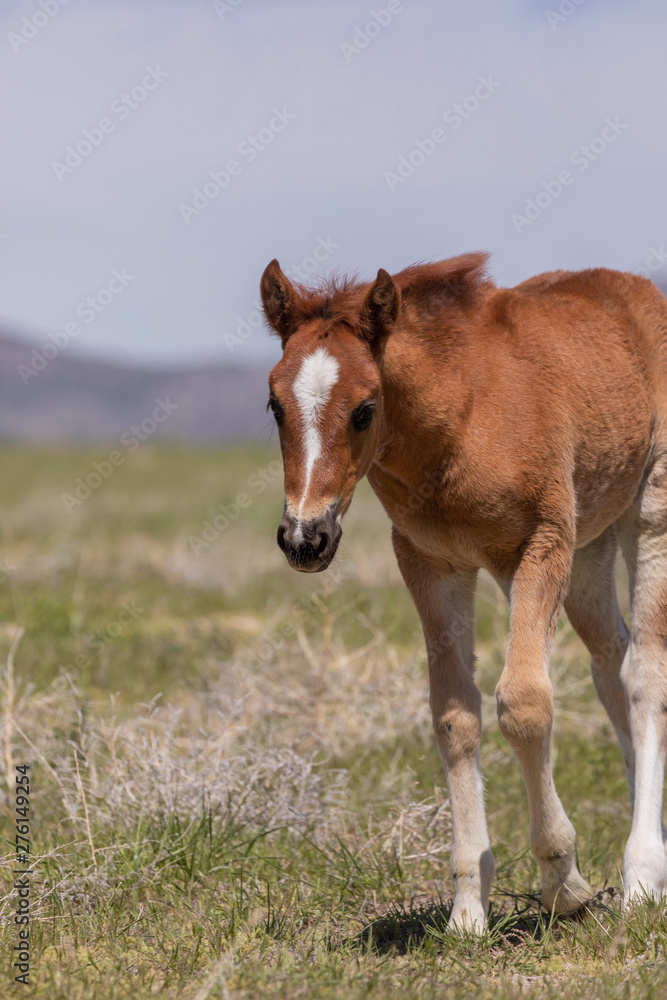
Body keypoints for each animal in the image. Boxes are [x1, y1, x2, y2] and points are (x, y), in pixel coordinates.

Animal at [260, 250, 667, 931]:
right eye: (274, 406)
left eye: (364, 407)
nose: (304, 538)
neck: (462, 418)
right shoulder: (430, 560)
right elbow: (455, 716)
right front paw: (467, 910)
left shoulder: (541, 544)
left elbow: (524, 705)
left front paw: (564, 883)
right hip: (591, 547)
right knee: (611, 661)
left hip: (647, 515)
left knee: (645, 675)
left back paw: (640, 876)